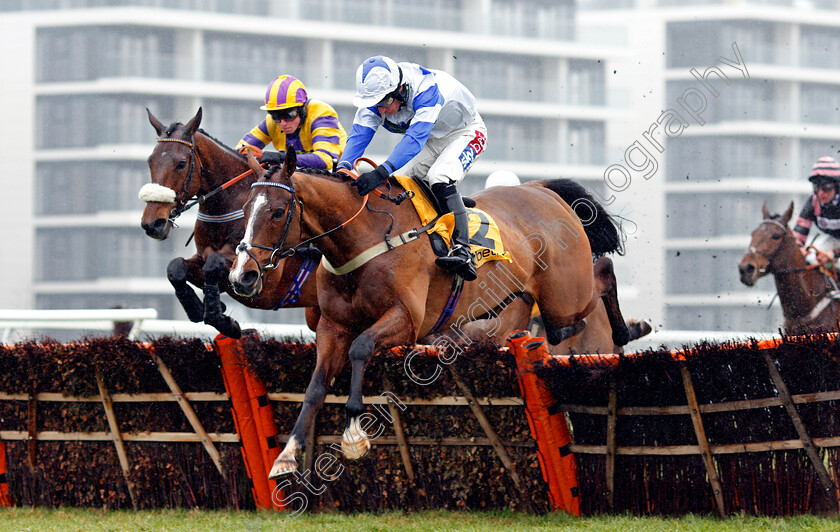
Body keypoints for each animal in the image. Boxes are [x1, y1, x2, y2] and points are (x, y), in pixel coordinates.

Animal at [139, 107, 320, 336]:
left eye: (181, 164)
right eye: (150, 161)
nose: (152, 223)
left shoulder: (265, 277)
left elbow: (212, 265)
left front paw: (224, 320)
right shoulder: (202, 256)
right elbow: (176, 267)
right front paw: (200, 309)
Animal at [233, 151, 628, 478]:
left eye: (278, 212)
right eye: (246, 208)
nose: (243, 275)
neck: (363, 239)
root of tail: (540, 189)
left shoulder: (406, 321)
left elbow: (361, 349)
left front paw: (354, 435)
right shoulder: (333, 326)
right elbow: (315, 389)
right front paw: (287, 455)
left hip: (567, 295)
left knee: (601, 274)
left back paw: (622, 333)